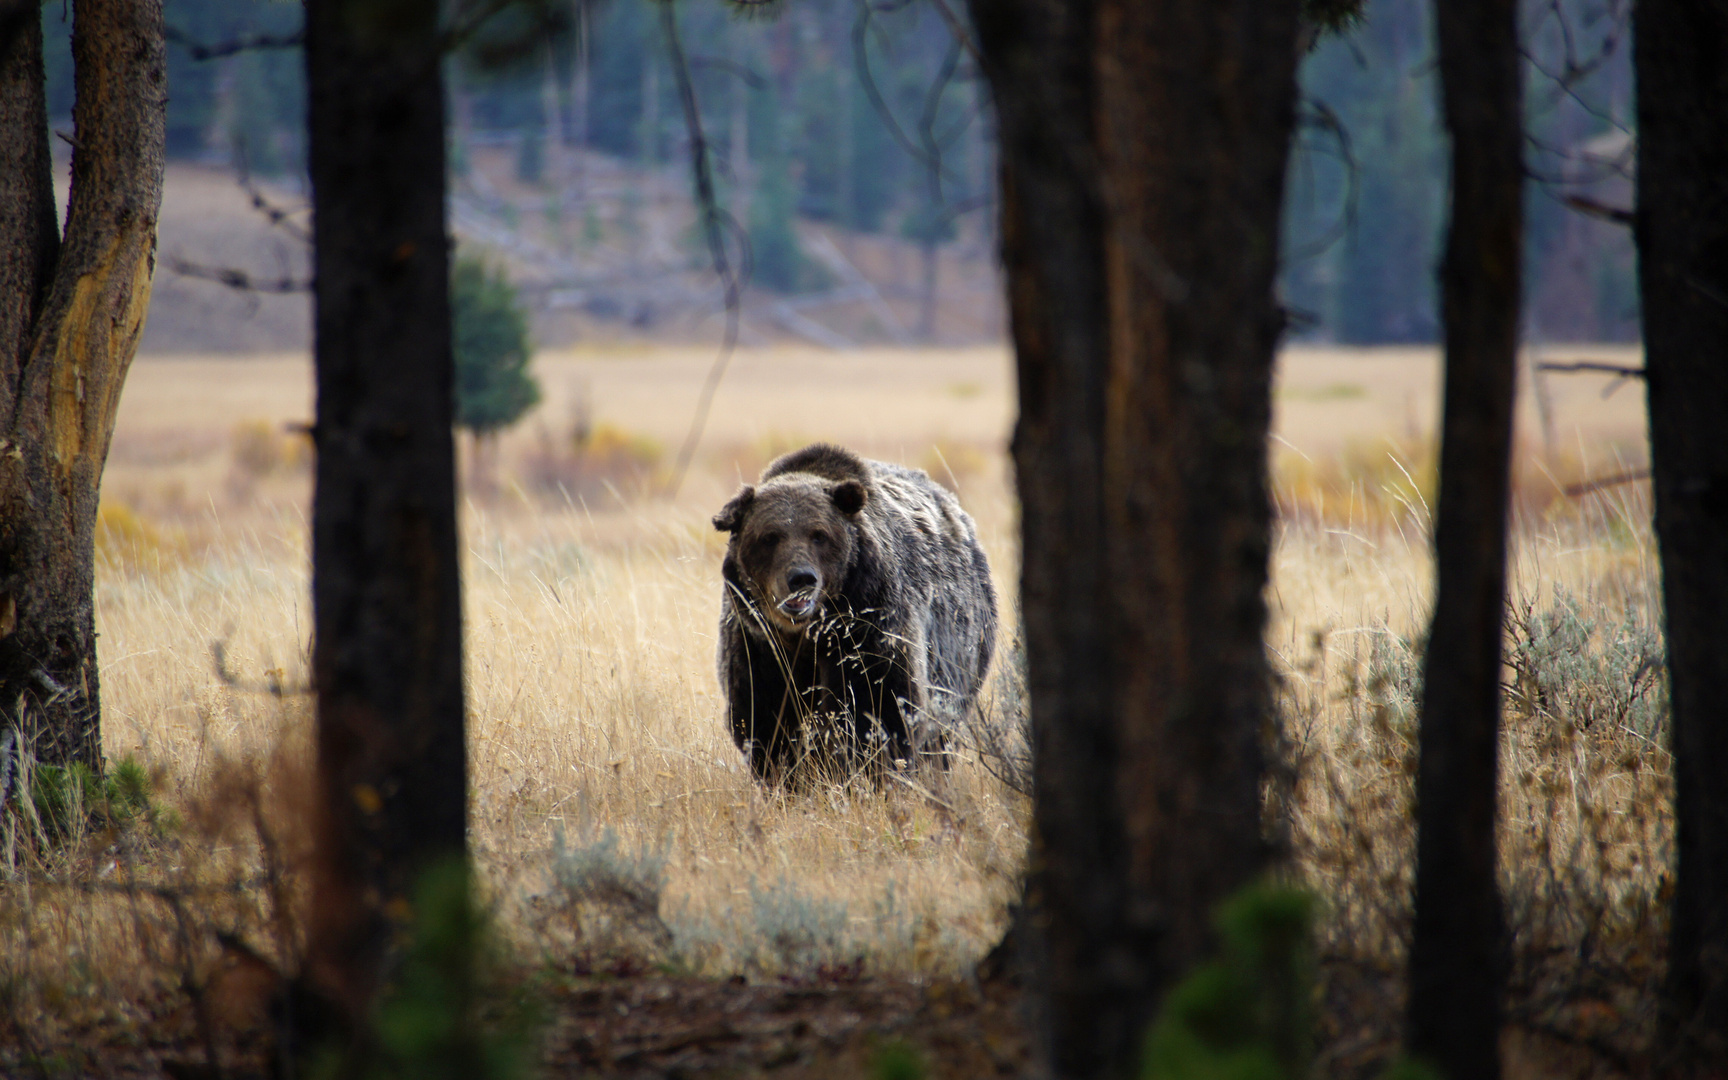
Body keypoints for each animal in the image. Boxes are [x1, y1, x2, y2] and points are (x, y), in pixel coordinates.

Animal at [711, 442, 1002, 777]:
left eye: (819, 534)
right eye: (770, 537)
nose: (801, 578)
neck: (804, 637)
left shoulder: (867, 633)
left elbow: (878, 713)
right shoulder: (758, 648)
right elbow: (765, 725)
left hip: (962, 650)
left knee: (940, 735)